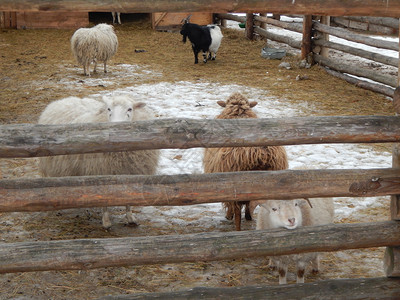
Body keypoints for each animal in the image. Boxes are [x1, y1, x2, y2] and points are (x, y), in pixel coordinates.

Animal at [38, 95, 159, 229]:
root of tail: (63, 100)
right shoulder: (100, 172)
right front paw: (106, 222)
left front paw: (130, 217)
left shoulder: (131, 173)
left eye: (130, 109)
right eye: (108, 109)